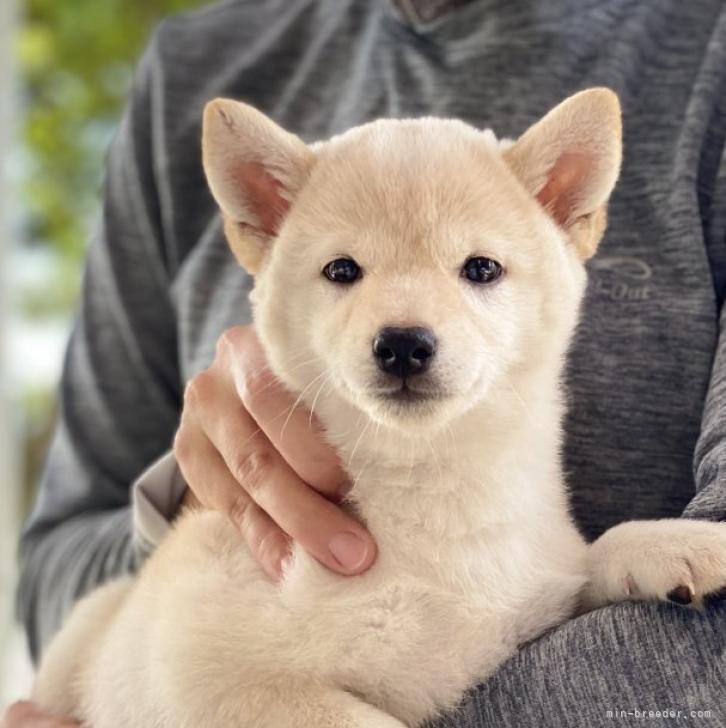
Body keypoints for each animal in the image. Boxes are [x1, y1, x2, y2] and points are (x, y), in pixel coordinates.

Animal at [34, 89, 726, 728]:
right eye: (342, 270)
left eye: (481, 268)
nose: (403, 344)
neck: (435, 508)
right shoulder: (210, 679)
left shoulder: (537, 593)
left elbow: (596, 553)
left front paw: (677, 542)